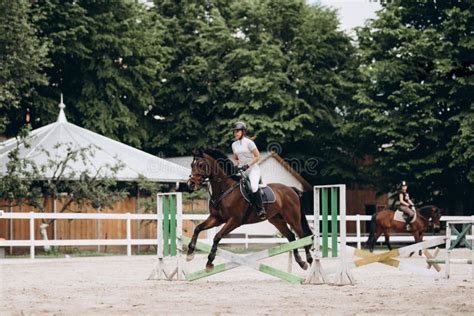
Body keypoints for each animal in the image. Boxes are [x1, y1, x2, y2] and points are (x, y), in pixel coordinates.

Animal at [186, 148, 314, 272]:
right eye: (192, 165)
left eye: (201, 165)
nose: (191, 184)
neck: (225, 189)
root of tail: (291, 189)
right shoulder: (216, 219)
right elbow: (197, 228)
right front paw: (190, 253)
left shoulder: (234, 221)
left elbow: (217, 236)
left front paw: (209, 261)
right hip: (277, 220)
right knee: (292, 237)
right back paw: (301, 262)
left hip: (293, 219)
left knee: (302, 237)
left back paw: (309, 260)